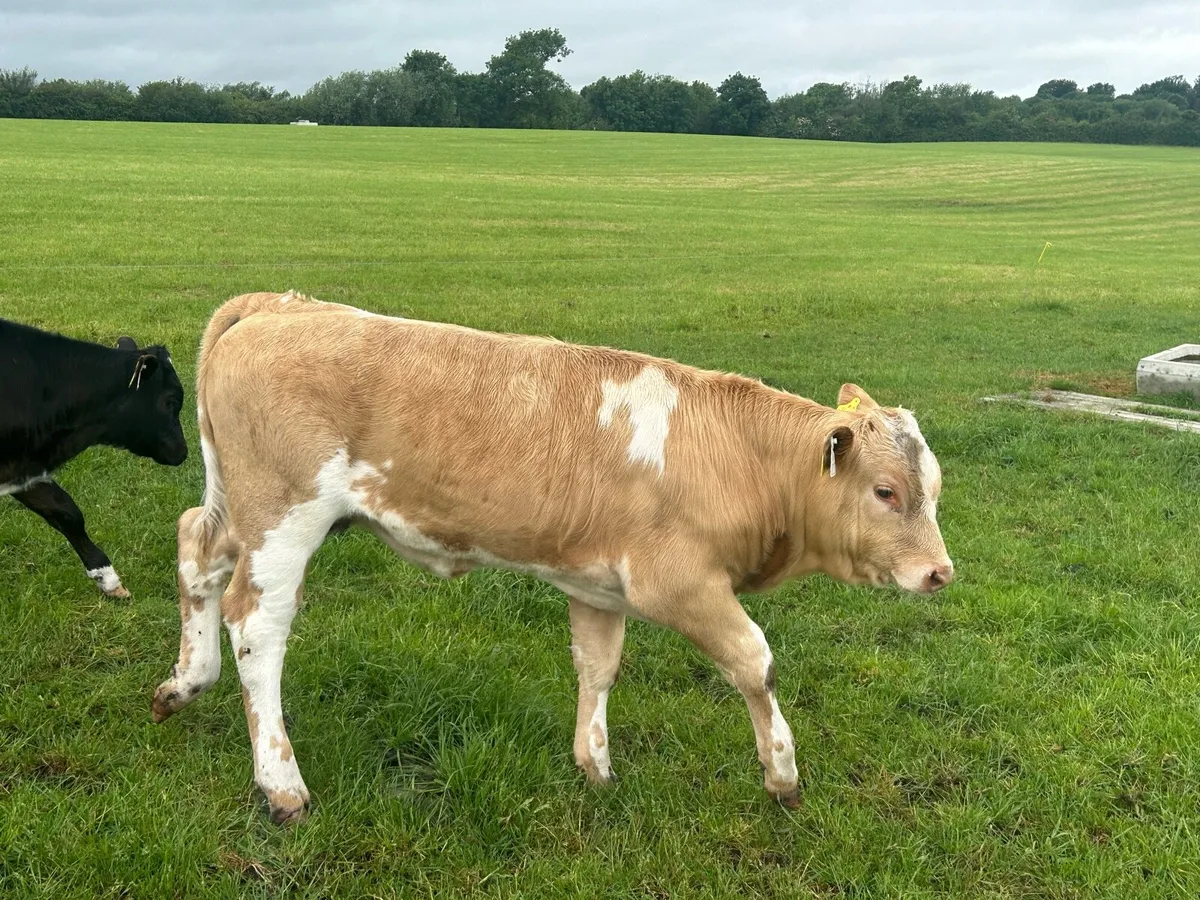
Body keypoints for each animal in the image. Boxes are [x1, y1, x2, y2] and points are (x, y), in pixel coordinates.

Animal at [152, 290, 953, 824]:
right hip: (285, 517)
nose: (939, 572)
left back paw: (186, 682)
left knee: (196, 548)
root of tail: (280, 306)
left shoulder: (598, 587)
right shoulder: (680, 585)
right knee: (257, 625)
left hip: (238, 508)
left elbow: (597, 667)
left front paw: (594, 765)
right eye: (886, 492)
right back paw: (280, 783)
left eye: (934, 489)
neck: (733, 454)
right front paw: (781, 774)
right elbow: (755, 662)